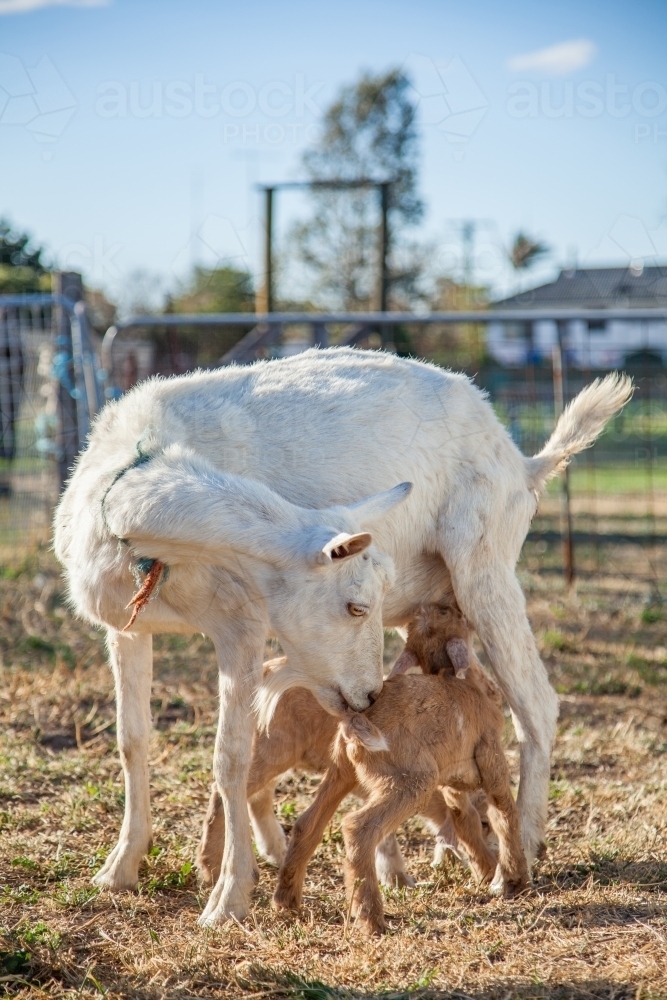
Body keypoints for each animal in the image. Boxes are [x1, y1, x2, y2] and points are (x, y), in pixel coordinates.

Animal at [53, 348, 632, 924]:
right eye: (356, 606)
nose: (371, 695)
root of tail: (521, 461)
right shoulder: (124, 629)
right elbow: (132, 741)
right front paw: (119, 869)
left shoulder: (240, 624)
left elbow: (231, 759)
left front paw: (228, 899)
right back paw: (437, 851)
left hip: (484, 566)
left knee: (535, 703)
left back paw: (522, 850)